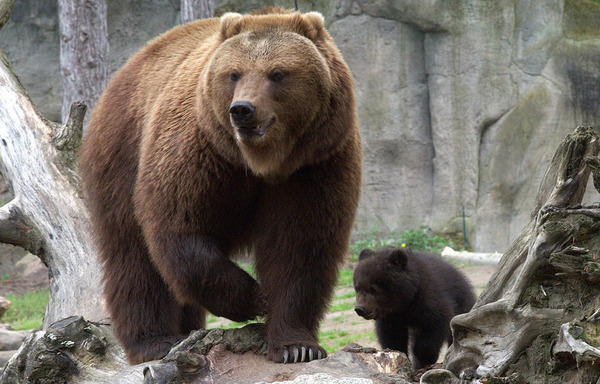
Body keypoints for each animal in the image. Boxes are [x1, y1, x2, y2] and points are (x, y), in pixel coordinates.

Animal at [79, 7, 360, 364]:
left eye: (277, 73)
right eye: (234, 74)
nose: (242, 110)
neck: (262, 162)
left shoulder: (314, 164)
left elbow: (300, 247)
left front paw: (297, 346)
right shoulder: (200, 153)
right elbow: (180, 230)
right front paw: (254, 297)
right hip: (122, 153)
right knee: (132, 256)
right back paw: (155, 341)